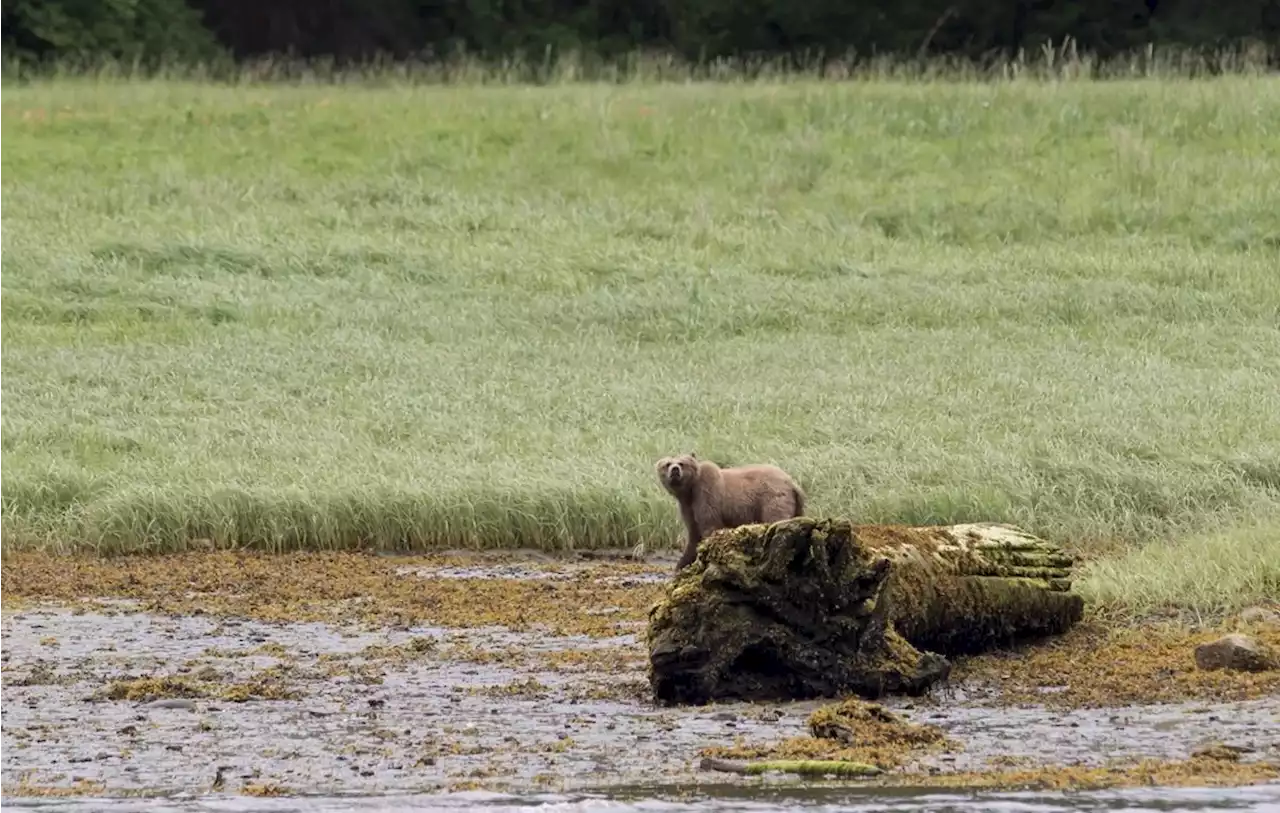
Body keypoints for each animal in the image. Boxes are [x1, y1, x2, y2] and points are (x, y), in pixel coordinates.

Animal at [655, 450, 803, 573]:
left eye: (682, 463)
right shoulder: (688, 507)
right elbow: (694, 534)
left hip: (772, 498)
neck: (689, 491)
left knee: (776, 520)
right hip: (796, 505)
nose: (675, 470)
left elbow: (710, 526)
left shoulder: (706, 494)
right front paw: (681, 565)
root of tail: (791, 482)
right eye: (667, 464)